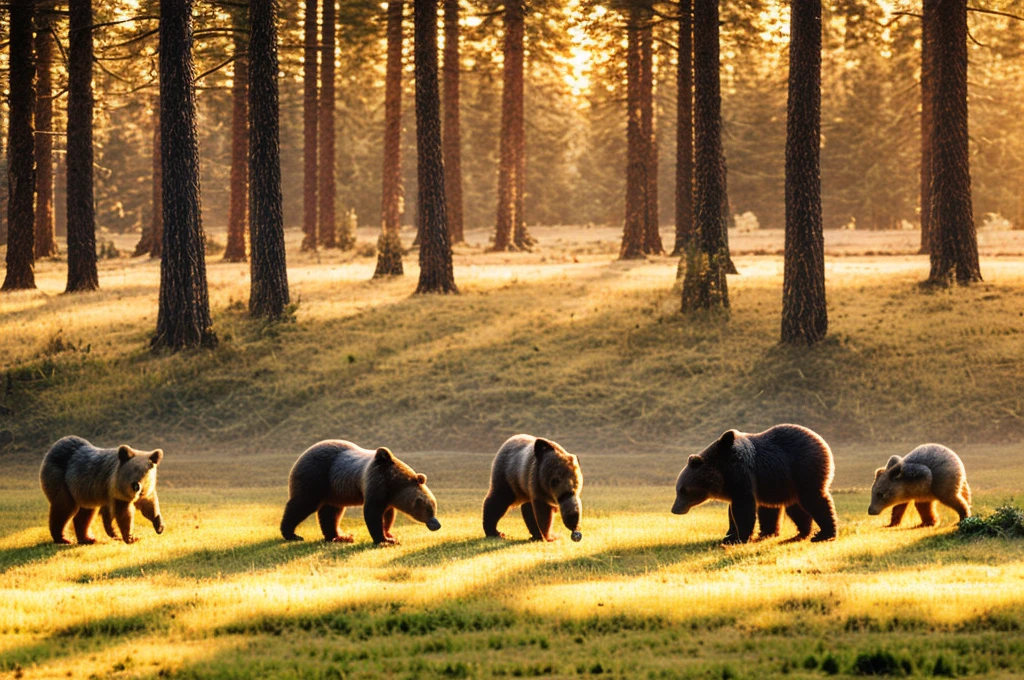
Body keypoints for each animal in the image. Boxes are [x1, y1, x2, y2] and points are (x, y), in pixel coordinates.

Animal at [280, 440, 440, 548]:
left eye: (434, 507)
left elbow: (388, 516)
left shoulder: (388, 497)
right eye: (428, 509)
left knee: (331, 513)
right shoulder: (376, 483)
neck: (394, 482)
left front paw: (390, 535)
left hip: (334, 492)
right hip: (315, 478)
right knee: (301, 504)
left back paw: (340, 537)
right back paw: (292, 534)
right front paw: (385, 540)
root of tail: (302, 455)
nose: (436, 524)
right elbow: (373, 514)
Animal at [671, 421, 839, 544]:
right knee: (793, 508)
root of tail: (820, 439)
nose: (675, 509)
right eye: (677, 489)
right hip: (782, 484)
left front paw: (739, 538)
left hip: (804, 469)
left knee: (814, 500)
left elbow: (743, 508)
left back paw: (823, 534)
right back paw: (791, 534)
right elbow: (733, 511)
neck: (723, 472)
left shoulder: (742, 476)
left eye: (684, 490)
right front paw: (730, 535)